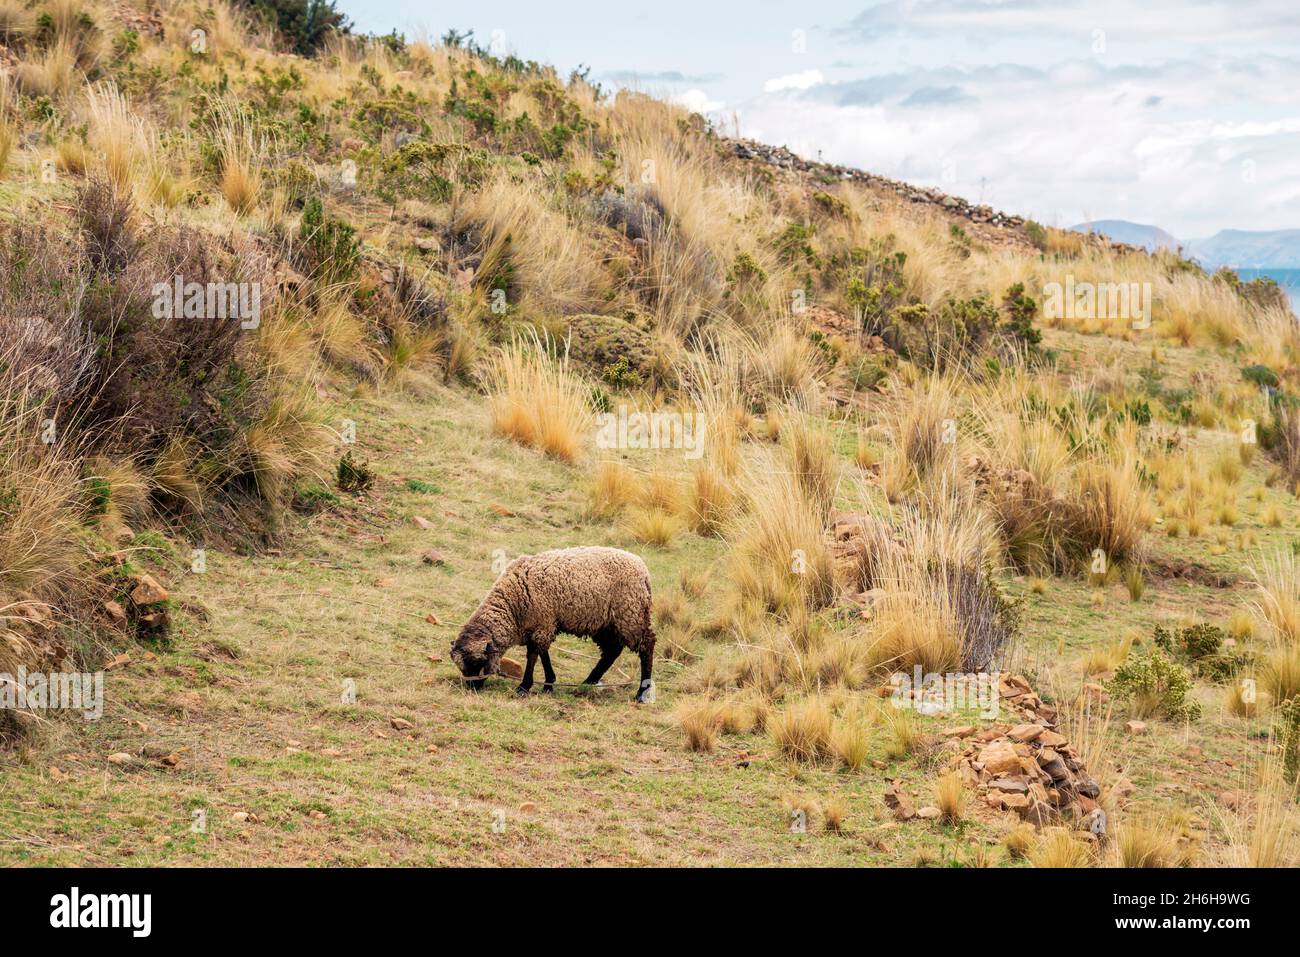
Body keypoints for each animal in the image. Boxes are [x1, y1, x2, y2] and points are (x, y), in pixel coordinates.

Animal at [454, 546, 660, 702]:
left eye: (477, 661)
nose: (471, 687)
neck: (512, 605)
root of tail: (644, 571)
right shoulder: (540, 624)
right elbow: (543, 653)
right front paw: (548, 684)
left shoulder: (543, 622)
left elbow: (533, 654)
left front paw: (524, 687)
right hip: (604, 623)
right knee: (612, 651)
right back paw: (587, 683)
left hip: (630, 614)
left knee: (646, 645)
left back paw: (642, 692)